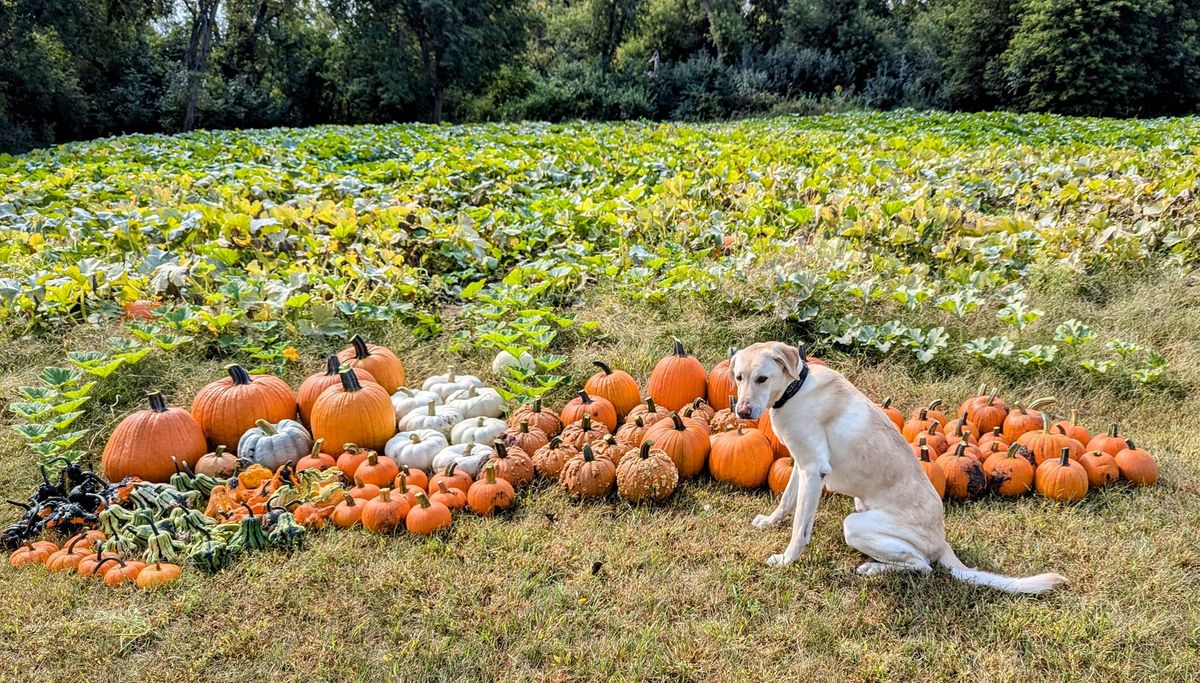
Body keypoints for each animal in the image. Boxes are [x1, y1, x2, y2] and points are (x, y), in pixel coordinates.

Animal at [734, 340, 1065, 590]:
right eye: (738, 377)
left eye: (762, 378)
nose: (742, 412)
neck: (795, 389)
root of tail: (942, 540)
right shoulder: (802, 464)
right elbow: (787, 502)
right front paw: (770, 522)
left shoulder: (814, 470)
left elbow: (800, 528)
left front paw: (787, 560)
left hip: (855, 525)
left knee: (922, 566)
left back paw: (873, 568)